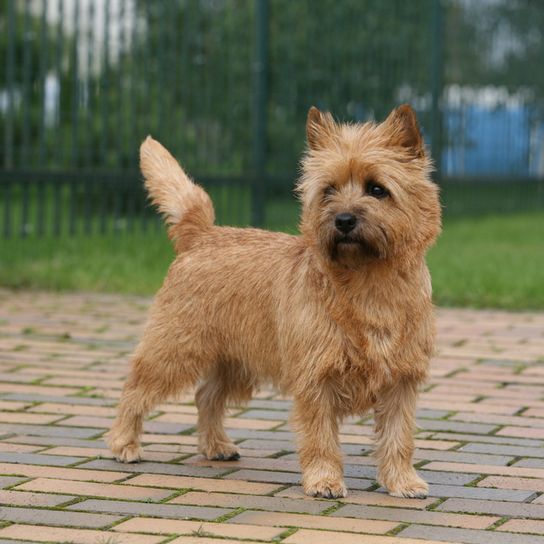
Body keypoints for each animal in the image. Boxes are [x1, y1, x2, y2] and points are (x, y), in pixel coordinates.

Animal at [107, 104, 442, 500]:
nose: (343, 220)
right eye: (328, 190)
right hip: (176, 349)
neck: (368, 283)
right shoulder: (316, 377)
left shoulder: (401, 381)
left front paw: (403, 482)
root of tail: (202, 234)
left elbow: (398, 437)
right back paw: (125, 443)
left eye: (378, 189)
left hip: (235, 359)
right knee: (135, 388)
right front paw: (325, 480)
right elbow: (320, 437)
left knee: (206, 395)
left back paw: (216, 446)